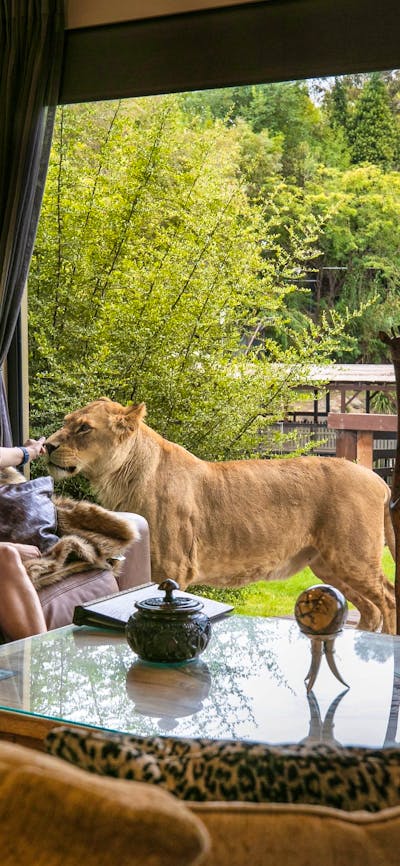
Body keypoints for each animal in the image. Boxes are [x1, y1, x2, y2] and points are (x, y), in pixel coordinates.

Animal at [45, 397, 396, 633]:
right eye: (66, 421)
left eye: (84, 428)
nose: (47, 445)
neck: (120, 477)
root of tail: (377, 478)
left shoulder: (172, 567)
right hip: (327, 563)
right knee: (370, 609)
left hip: (352, 557)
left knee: (388, 599)